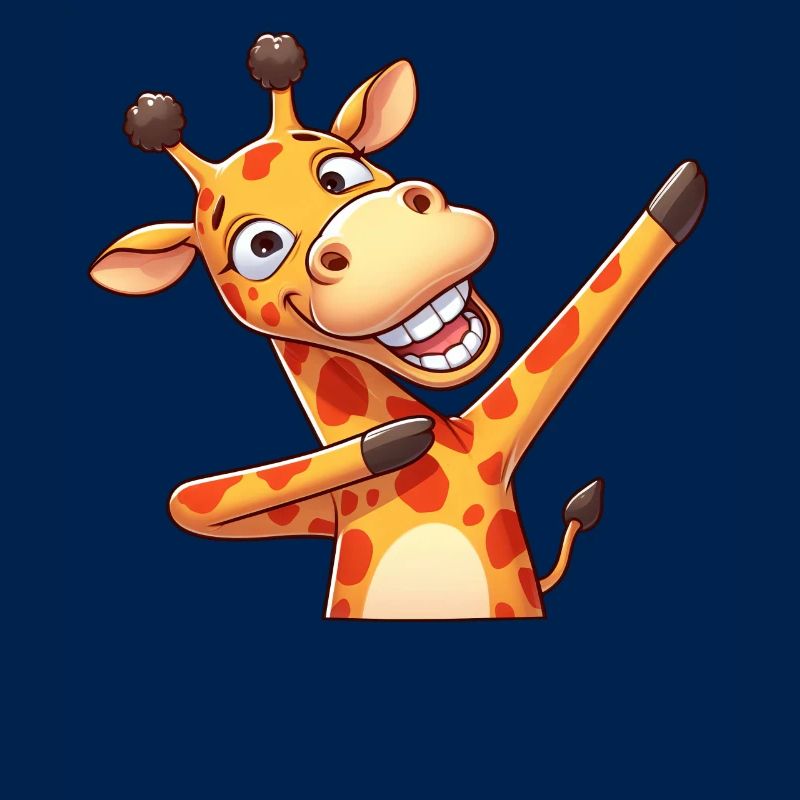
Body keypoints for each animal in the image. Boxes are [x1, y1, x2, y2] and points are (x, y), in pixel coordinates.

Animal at [90, 33, 707, 620]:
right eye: (260, 247)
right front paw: (393, 439)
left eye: (340, 175)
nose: (385, 234)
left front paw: (676, 199)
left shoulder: (495, 441)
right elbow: (189, 501)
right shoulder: (320, 507)